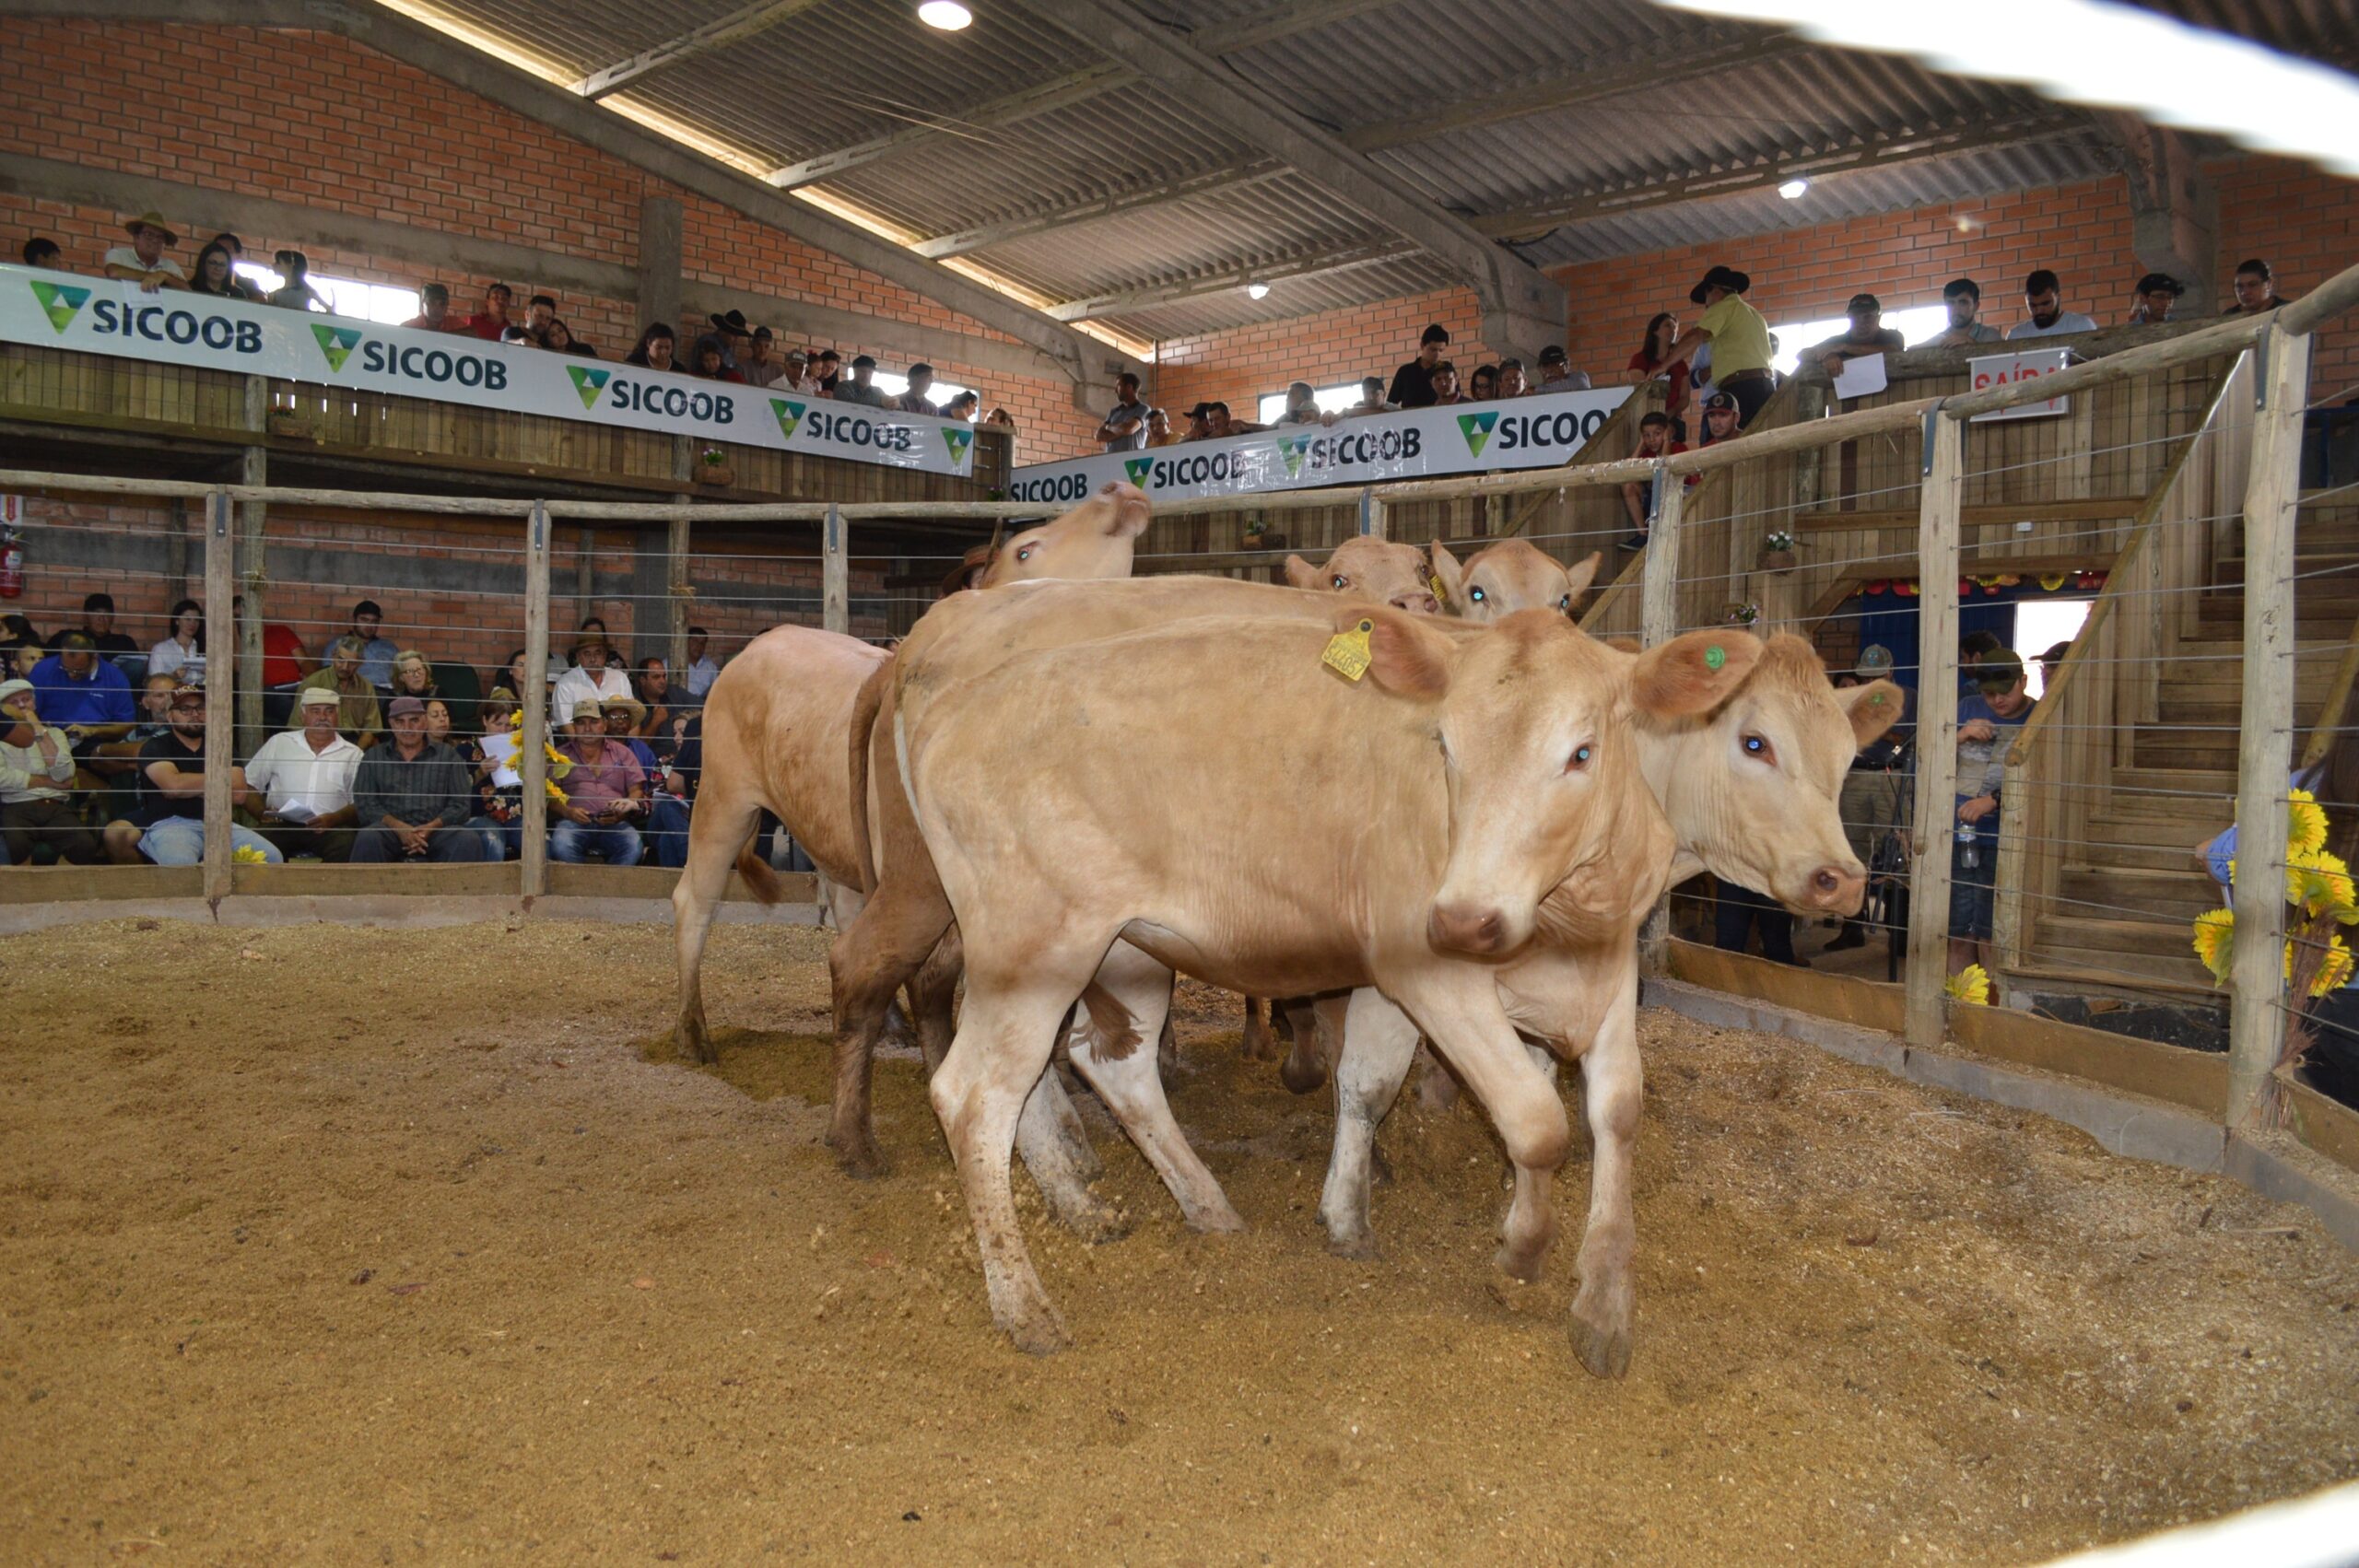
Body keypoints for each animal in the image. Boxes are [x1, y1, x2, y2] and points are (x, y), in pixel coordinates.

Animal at [664, 486, 1151, 1075]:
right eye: (1026, 550)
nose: (1115, 490)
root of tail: (765, 640)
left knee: (846, 904)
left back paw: (888, 1018)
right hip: (724, 796)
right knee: (694, 900)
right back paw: (693, 1030)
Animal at [891, 601, 1764, 1358]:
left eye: (1581, 752)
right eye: (1446, 748)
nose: (1464, 920)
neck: (1561, 926)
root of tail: (952, 704)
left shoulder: (1608, 967)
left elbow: (1612, 1112)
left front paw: (1604, 1303)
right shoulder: (1426, 972)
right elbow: (1535, 1119)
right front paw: (1520, 1249)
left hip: (1121, 952)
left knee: (1105, 1066)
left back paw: (1170, 1206)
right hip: (1033, 944)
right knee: (973, 1095)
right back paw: (1024, 1304)